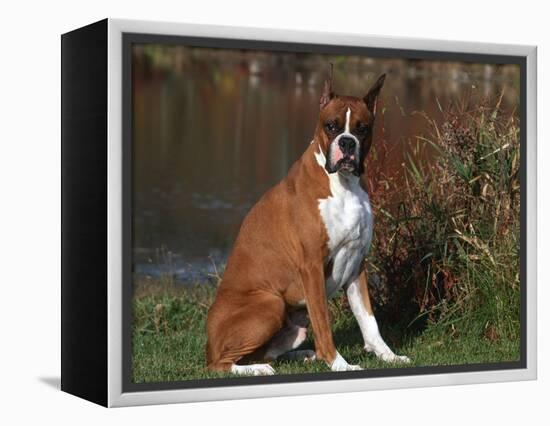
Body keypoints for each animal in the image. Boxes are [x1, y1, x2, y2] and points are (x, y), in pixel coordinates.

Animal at [206, 68, 410, 374]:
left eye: (362, 128)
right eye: (331, 126)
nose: (347, 142)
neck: (342, 184)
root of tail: (208, 342)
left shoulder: (357, 265)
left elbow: (369, 321)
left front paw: (389, 356)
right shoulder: (312, 266)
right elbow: (324, 322)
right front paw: (340, 365)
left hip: (294, 322)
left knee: (263, 352)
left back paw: (301, 355)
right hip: (271, 304)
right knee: (221, 363)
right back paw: (259, 369)